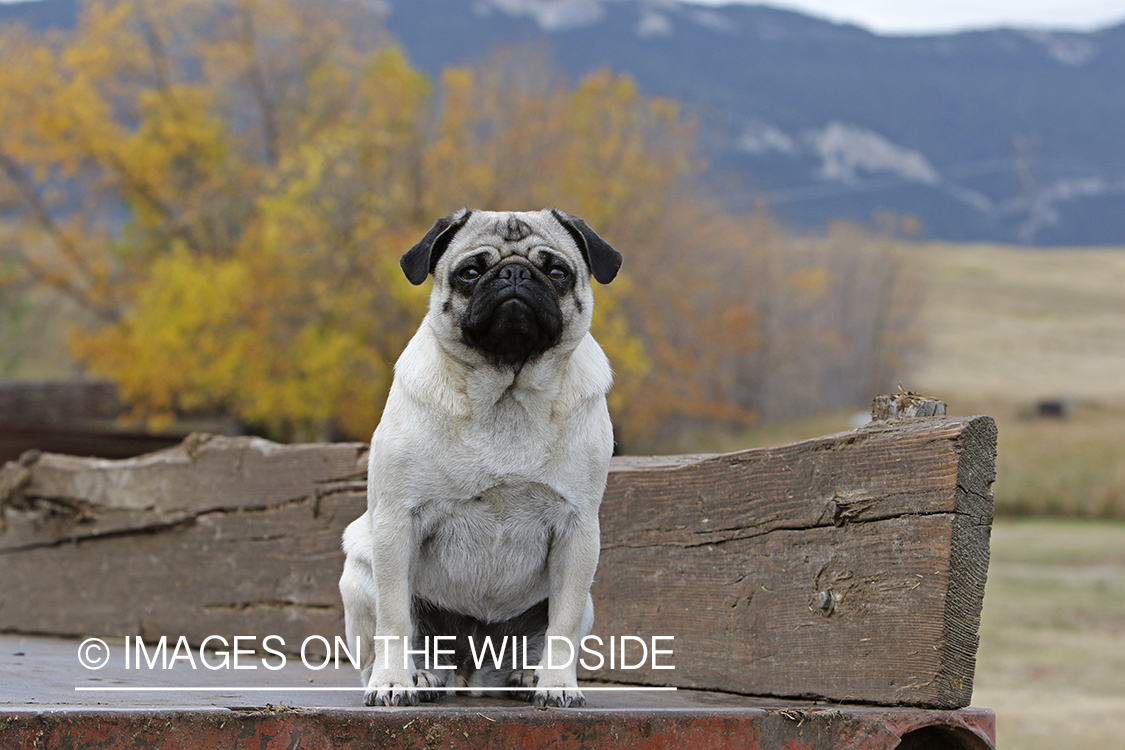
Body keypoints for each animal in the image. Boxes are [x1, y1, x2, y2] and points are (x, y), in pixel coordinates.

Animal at [339, 208, 625, 706]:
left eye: (557, 272)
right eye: (470, 272)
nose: (514, 274)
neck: (505, 394)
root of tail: (469, 670)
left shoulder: (579, 532)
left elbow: (563, 625)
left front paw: (556, 685)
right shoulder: (396, 523)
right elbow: (393, 619)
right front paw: (393, 682)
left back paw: (528, 675)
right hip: (359, 567)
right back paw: (419, 675)